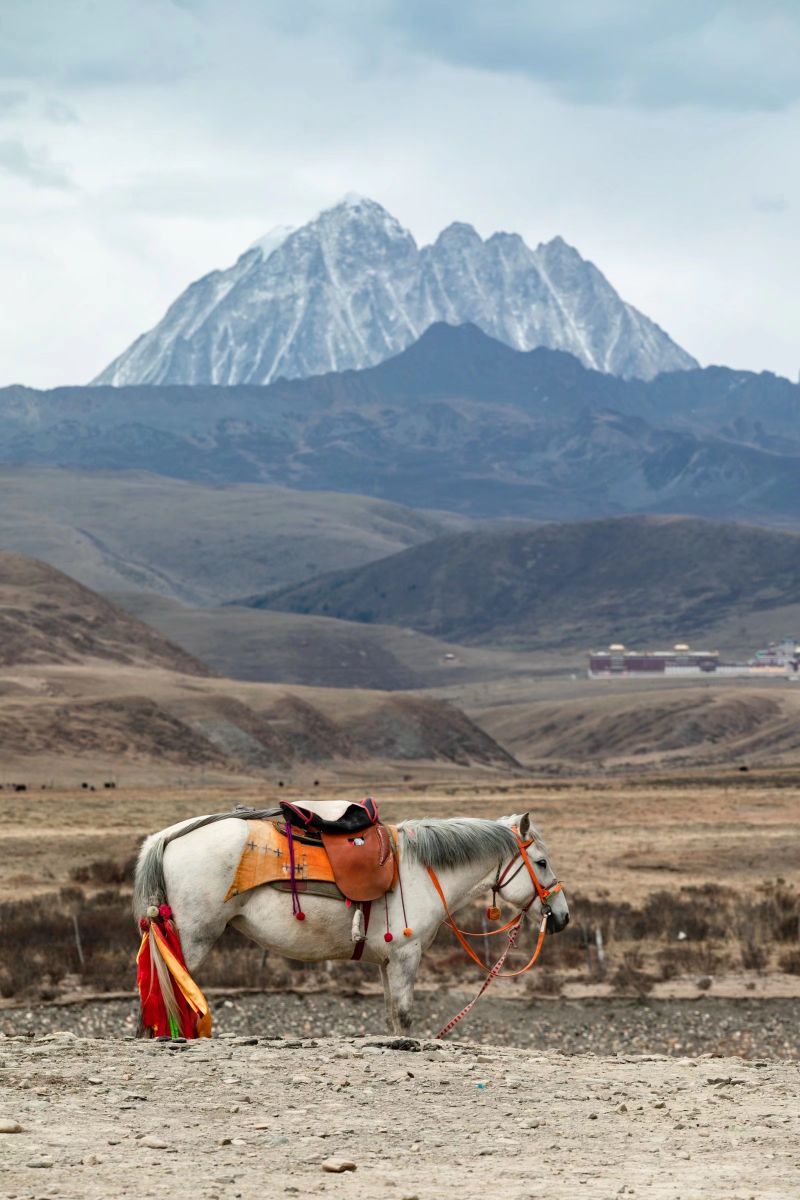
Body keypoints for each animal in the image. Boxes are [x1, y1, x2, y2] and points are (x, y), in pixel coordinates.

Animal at [133, 811, 568, 1036]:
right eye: (542, 862)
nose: (561, 917)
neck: (422, 870)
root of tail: (168, 836)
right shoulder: (406, 956)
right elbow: (404, 1015)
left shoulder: (387, 962)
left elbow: (391, 1013)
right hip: (191, 939)